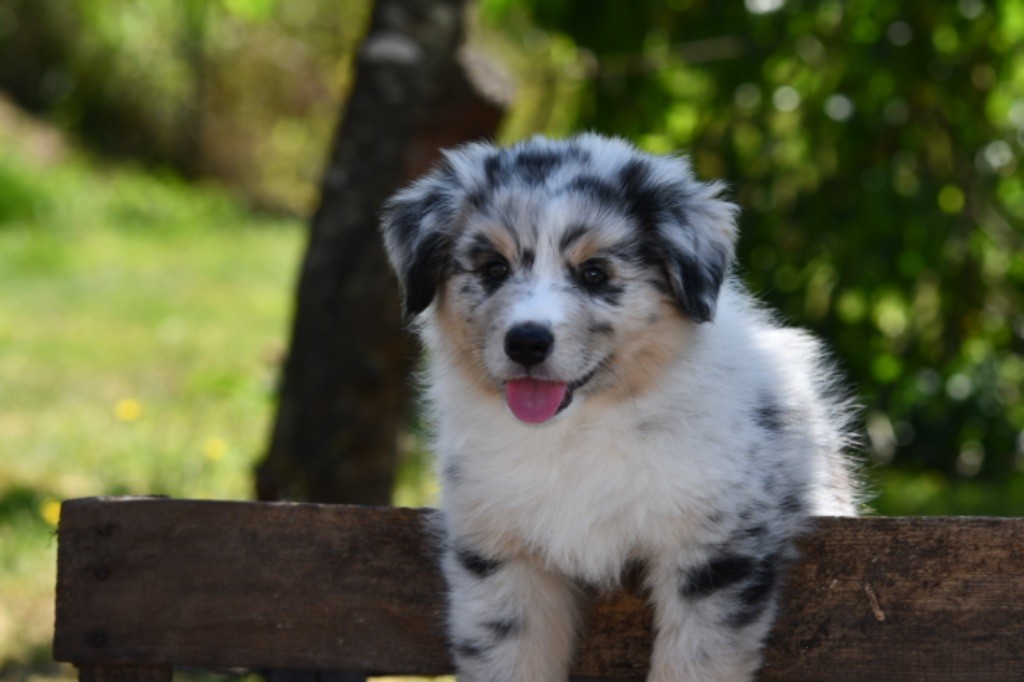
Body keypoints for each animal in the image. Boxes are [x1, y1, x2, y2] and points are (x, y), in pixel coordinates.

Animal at [380, 134, 860, 681]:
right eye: (494, 268)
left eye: (595, 274)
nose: (527, 342)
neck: (580, 430)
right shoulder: (500, 555)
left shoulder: (716, 550)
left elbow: (693, 664)